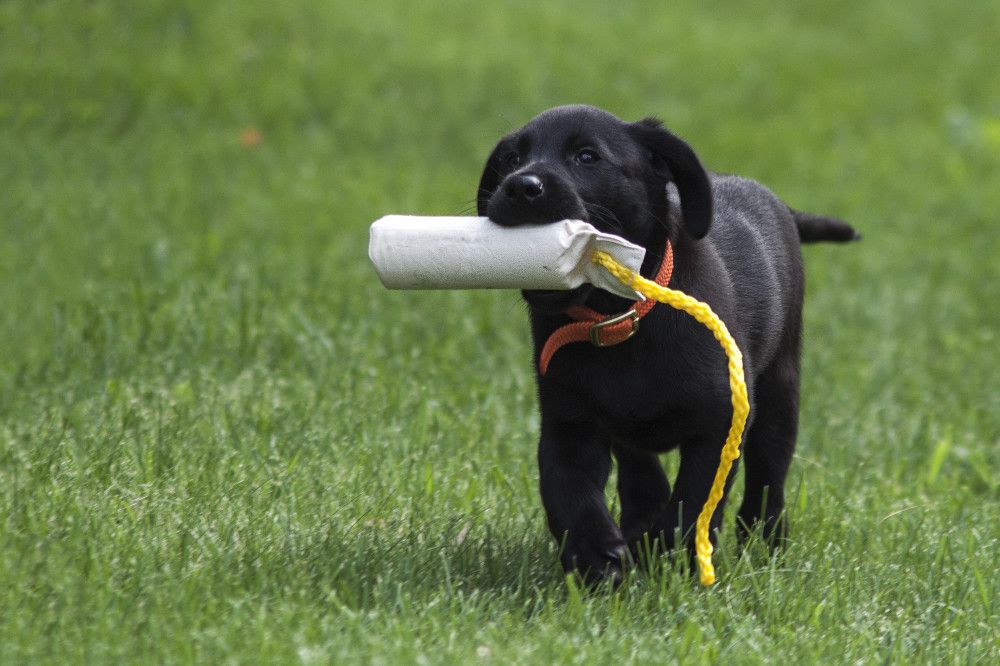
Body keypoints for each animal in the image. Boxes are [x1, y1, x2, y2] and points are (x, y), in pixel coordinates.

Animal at [476, 104, 860, 580]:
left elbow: (694, 502)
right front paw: (596, 556)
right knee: (640, 469)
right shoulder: (569, 422)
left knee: (768, 478)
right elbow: (566, 490)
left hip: (779, 392)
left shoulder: (722, 420)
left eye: (587, 157)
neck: (619, 319)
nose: (520, 186)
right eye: (511, 159)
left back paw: (765, 544)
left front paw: (672, 558)